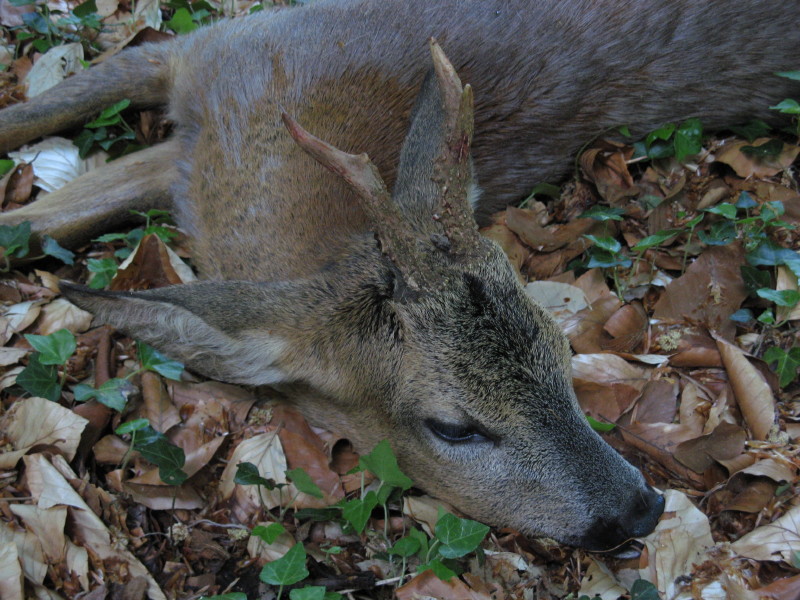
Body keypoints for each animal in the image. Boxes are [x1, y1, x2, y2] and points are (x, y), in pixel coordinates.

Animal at [4, 0, 800, 552]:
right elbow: (36, 164)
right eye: (452, 426)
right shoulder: (203, 51)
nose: (642, 508)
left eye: (563, 351)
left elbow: (43, 215)